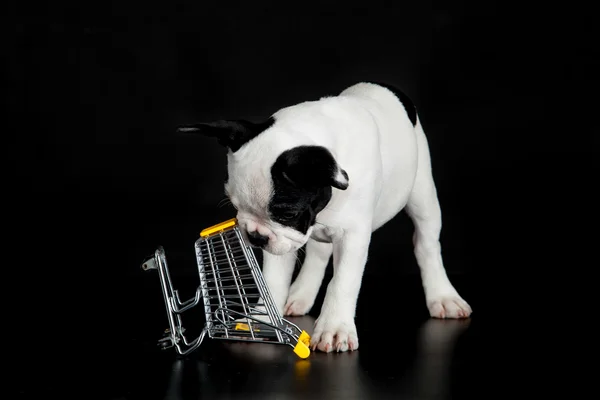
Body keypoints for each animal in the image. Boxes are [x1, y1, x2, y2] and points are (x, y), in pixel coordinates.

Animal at [176, 82, 472, 354]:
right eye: (235, 206)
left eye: (288, 213)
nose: (255, 236)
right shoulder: (281, 238)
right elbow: (271, 279)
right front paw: (262, 319)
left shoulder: (349, 236)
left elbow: (342, 282)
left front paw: (334, 327)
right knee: (318, 254)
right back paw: (300, 295)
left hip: (422, 193)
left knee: (426, 244)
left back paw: (443, 296)